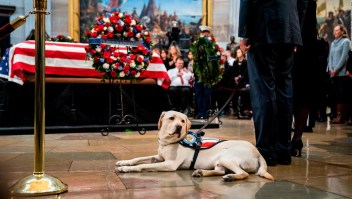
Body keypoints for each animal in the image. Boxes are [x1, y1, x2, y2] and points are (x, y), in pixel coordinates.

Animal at [116, 110, 276, 182]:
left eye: (182, 121)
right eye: (171, 118)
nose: (179, 127)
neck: (169, 142)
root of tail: (258, 153)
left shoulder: (169, 164)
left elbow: (143, 165)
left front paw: (126, 169)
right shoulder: (159, 157)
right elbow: (138, 159)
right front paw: (123, 162)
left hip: (227, 157)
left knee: (243, 174)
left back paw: (230, 177)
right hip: (220, 161)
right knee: (219, 171)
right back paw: (201, 172)